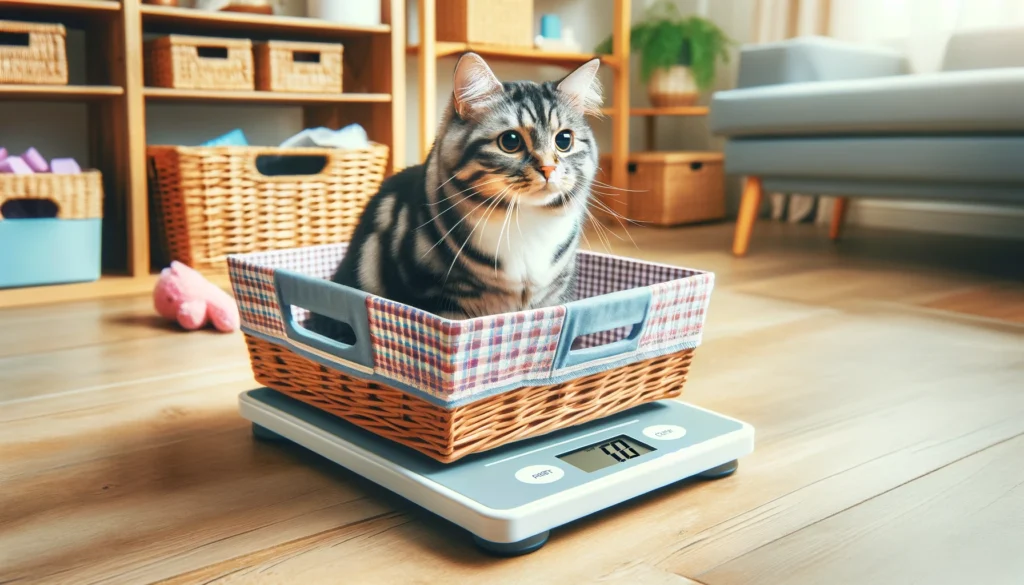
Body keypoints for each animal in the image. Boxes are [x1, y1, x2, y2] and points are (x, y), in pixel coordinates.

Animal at [307, 54, 602, 338]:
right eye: (510, 142)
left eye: (564, 140)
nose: (549, 168)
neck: (526, 221)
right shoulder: (444, 301)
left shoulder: (553, 297)